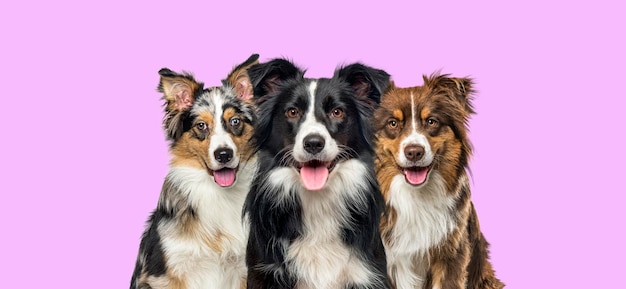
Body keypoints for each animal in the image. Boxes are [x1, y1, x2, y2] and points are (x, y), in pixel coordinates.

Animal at [243, 59, 390, 288]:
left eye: (337, 112)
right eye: (292, 112)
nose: (313, 143)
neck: (317, 199)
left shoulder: (368, 273)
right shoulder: (263, 271)